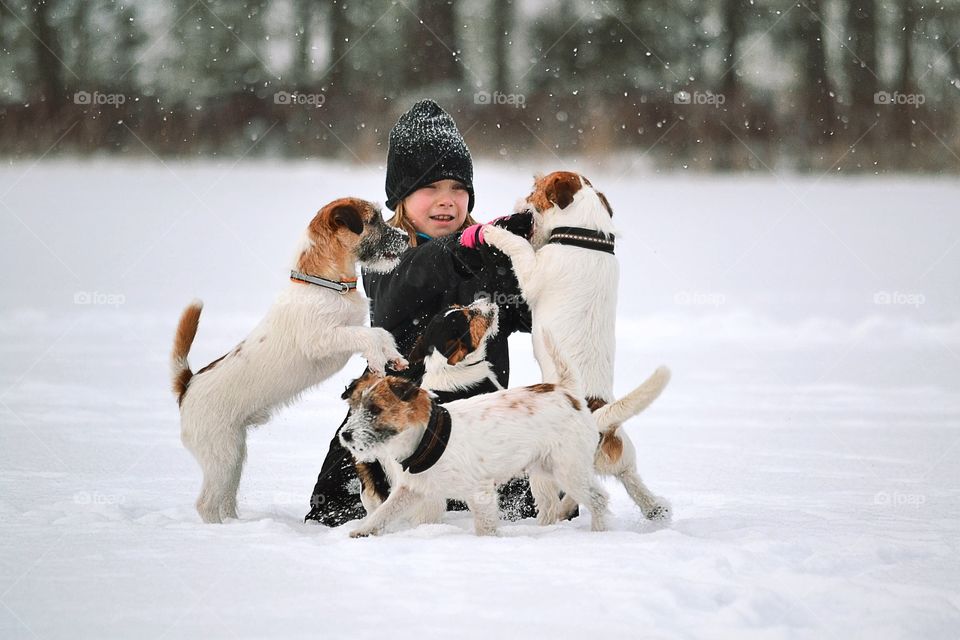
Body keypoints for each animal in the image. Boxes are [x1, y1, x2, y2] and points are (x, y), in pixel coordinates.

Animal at [172, 198, 408, 524]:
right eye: (373, 220)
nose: (407, 238)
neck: (327, 284)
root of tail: (187, 385)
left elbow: (381, 333)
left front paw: (395, 359)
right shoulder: (325, 339)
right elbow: (369, 336)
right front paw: (377, 359)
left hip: (234, 454)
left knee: (225, 499)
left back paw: (234, 524)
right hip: (222, 453)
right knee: (206, 503)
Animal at [338, 332, 608, 536]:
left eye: (375, 409)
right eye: (354, 407)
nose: (345, 435)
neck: (427, 437)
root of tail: (567, 393)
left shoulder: (480, 493)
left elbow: (485, 527)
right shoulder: (412, 490)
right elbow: (384, 512)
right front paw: (362, 531)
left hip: (568, 469)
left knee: (598, 499)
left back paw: (599, 531)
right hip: (544, 468)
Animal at [484, 172, 672, 524]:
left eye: (534, 191)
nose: (518, 205)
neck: (584, 234)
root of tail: (598, 419)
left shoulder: (532, 273)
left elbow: (521, 249)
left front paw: (495, 233)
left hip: (543, 469)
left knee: (550, 504)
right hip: (621, 458)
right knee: (629, 483)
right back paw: (657, 510)